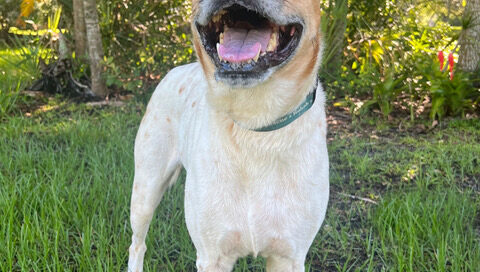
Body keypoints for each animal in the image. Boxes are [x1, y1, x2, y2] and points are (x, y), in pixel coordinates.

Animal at [127, 1, 330, 270]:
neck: (254, 124)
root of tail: (177, 69)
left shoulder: (289, 257)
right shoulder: (212, 257)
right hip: (146, 188)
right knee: (137, 244)